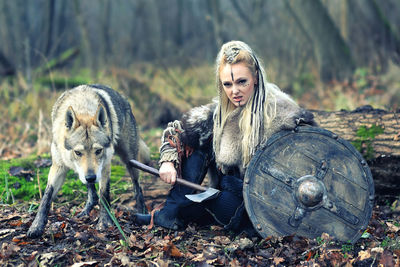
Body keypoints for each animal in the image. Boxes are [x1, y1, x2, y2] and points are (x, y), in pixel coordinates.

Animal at [27, 84, 151, 239]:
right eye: (78, 152)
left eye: (98, 151)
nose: (91, 177)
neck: (83, 108)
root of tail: (124, 98)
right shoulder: (58, 167)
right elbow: (46, 197)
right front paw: (36, 226)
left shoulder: (105, 167)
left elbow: (104, 195)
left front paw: (104, 222)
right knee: (92, 193)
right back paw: (86, 211)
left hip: (129, 160)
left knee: (137, 186)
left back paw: (143, 212)